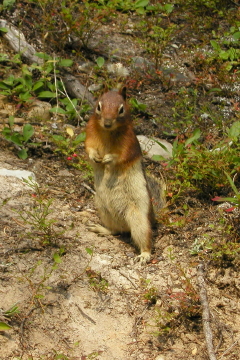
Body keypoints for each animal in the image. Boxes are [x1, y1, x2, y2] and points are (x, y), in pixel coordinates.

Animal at [84, 86, 163, 262]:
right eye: (99, 106)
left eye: (121, 109)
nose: (107, 123)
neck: (108, 132)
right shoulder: (89, 134)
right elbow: (88, 148)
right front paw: (95, 156)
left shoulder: (129, 143)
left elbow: (120, 157)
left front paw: (108, 158)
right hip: (103, 209)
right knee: (116, 231)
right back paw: (101, 229)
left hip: (138, 218)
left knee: (144, 237)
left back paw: (145, 255)